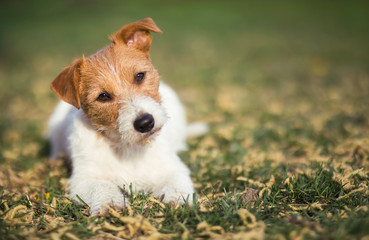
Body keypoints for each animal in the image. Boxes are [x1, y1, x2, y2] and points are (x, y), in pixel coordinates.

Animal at [47, 17, 206, 216]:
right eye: (103, 96)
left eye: (139, 76)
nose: (145, 123)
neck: (127, 147)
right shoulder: (84, 178)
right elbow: (102, 186)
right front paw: (110, 202)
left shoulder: (172, 168)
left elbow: (175, 182)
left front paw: (178, 200)